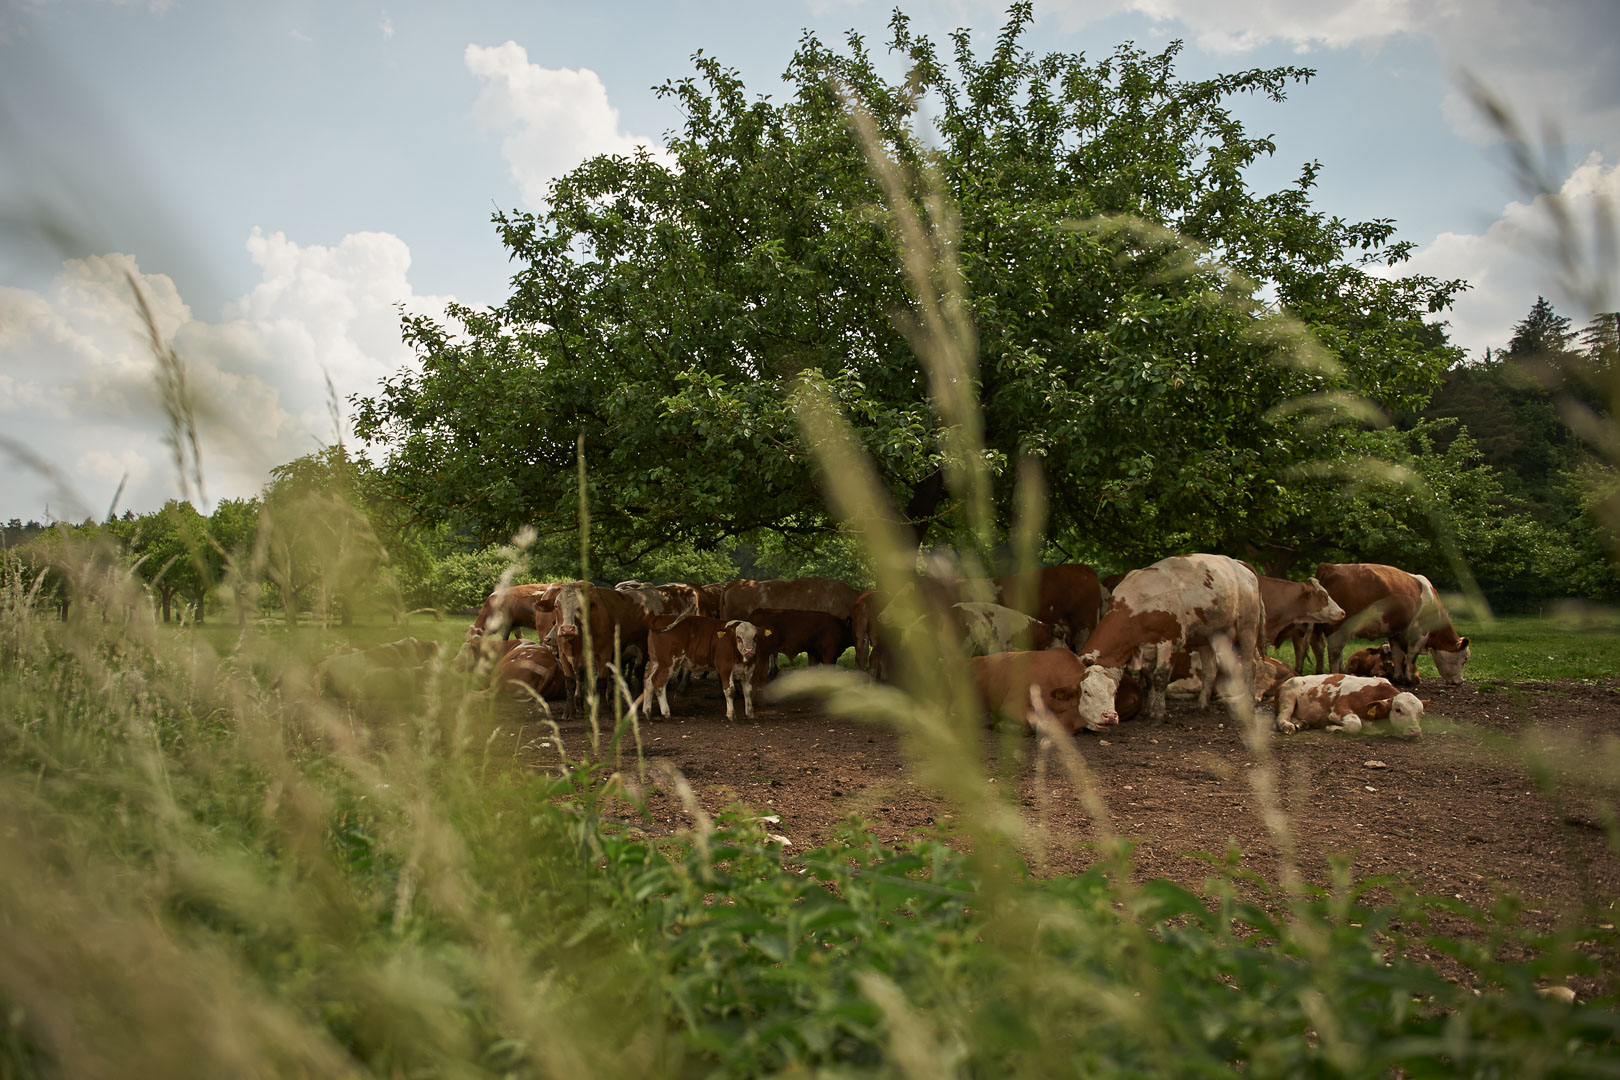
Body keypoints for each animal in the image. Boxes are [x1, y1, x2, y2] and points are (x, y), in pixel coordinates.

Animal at [635, 612, 767, 722]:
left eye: (755, 637)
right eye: (738, 637)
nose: (749, 650)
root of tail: (662, 617)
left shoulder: (749, 670)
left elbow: (748, 691)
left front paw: (750, 714)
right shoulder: (725, 667)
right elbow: (730, 691)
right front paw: (731, 715)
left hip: (655, 661)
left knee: (647, 679)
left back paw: (647, 712)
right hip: (668, 662)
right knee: (658, 682)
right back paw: (665, 713)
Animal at [1075, 553, 1263, 731]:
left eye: (1113, 691)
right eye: (1083, 690)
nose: (1107, 717)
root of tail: (1238, 563)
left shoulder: (1171, 641)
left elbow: (1160, 676)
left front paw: (1158, 714)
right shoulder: (1146, 647)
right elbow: (1149, 677)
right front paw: (1148, 710)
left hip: (1247, 626)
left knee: (1250, 664)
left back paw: (1250, 700)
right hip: (1206, 636)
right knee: (1210, 670)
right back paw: (1201, 705)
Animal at [1270, 676, 1425, 735]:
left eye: (1420, 714)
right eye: (1398, 710)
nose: (1415, 731)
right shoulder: (1339, 709)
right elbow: (1355, 724)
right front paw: (1332, 728)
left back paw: (1302, 724)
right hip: (1288, 695)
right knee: (1282, 716)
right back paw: (1287, 726)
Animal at [1308, 566, 1477, 683]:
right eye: (1465, 658)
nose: (1460, 682)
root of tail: (1329, 567)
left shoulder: (1395, 631)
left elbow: (1397, 654)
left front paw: (1398, 677)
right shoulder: (1419, 632)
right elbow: (1411, 655)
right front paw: (1410, 679)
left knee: (1319, 648)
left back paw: (1322, 672)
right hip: (1338, 627)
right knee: (1334, 652)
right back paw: (1335, 673)